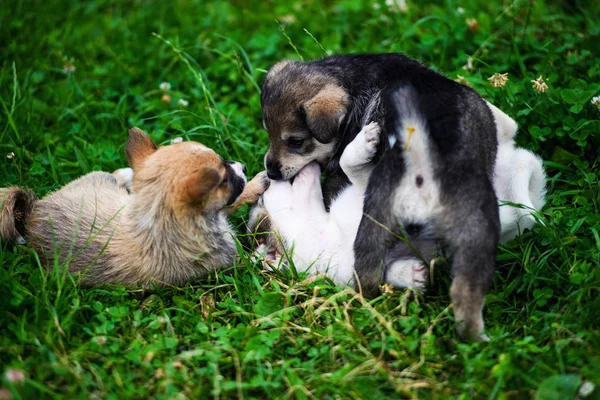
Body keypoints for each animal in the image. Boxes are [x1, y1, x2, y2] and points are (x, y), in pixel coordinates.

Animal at [0, 128, 268, 288]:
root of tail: (33, 208)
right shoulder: (231, 260)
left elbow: (235, 202)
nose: (243, 166)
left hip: (97, 180)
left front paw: (256, 183)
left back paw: (127, 173)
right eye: (224, 179)